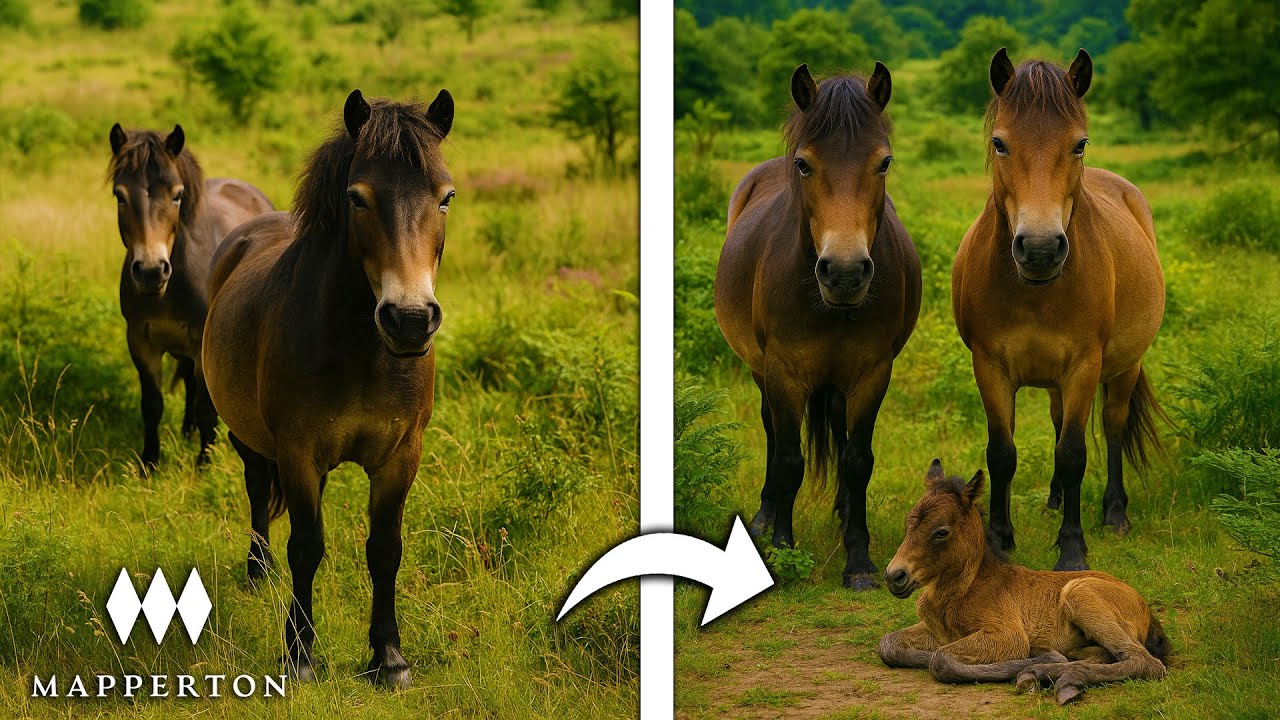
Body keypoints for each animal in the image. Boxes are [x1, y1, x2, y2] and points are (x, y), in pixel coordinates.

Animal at [108, 124, 274, 469]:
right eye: (120, 195)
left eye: (177, 195)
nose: (151, 271)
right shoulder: (140, 342)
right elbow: (153, 404)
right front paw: (149, 463)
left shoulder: (201, 345)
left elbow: (207, 408)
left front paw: (204, 464)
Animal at [202, 88, 454, 689]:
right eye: (357, 198)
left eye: (446, 198)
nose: (410, 320)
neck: (362, 351)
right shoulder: (297, 451)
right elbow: (306, 546)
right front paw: (298, 653)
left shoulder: (401, 455)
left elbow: (385, 549)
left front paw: (389, 658)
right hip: (249, 438)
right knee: (257, 493)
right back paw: (258, 572)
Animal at [715, 63, 922, 589]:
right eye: (804, 165)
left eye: (884, 163)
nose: (845, 272)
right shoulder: (784, 372)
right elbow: (789, 458)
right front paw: (781, 548)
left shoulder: (872, 372)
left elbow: (857, 459)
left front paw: (859, 559)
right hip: (761, 370)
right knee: (772, 432)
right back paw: (765, 519)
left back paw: (845, 514)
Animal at [878, 459, 1168, 705]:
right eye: (908, 524)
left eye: (941, 532)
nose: (894, 575)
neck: (962, 591)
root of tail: (1146, 611)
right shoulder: (936, 630)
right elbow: (888, 644)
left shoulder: (1008, 634)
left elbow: (941, 659)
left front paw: (1037, 658)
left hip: (1080, 594)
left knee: (1145, 661)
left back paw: (1050, 673)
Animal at [951, 48, 1166, 571]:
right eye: (1000, 143)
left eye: (1079, 144)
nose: (1041, 248)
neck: (1035, 292)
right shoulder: (989, 366)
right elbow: (1002, 453)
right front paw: (999, 538)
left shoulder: (1084, 366)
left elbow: (1072, 453)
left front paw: (1072, 547)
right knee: (1054, 420)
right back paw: (1053, 499)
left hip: (1124, 367)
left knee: (1112, 426)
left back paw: (1114, 513)